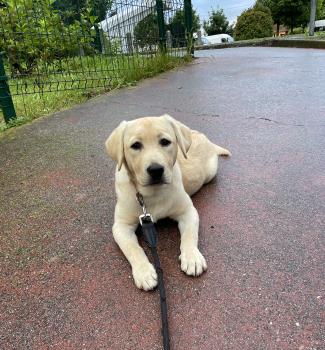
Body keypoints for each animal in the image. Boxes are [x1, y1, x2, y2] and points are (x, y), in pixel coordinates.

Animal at [105, 114, 229, 290]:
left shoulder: (188, 212)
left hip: (210, 172)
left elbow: (190, 235)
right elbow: (133, 248)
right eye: (135, 145)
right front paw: (144, 272)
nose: (156, 170)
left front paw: (192, 257)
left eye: (165, 142)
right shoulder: (121, 226)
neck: (152, 194)